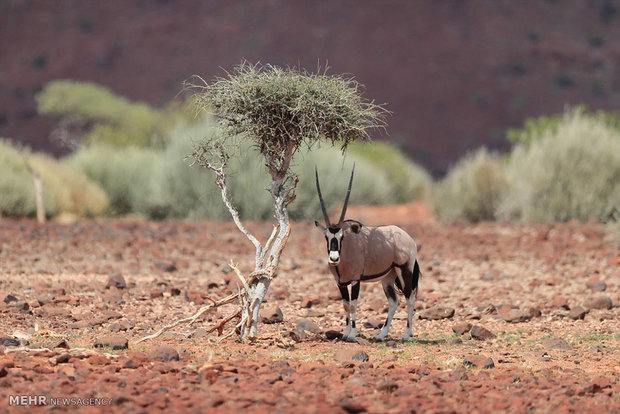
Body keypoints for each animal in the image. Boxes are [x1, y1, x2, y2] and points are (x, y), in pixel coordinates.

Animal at [314, 167, 422, 342]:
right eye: (326, 237)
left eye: (341, 237)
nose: (334, 258)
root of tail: (408, 238)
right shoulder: (340, 283)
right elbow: (346, 305)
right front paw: (345, 333)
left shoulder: (355, 280)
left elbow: (353, 305)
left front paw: (352, 334)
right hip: (388, 277)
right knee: (394, 301)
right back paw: (381, 335)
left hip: (404, 271)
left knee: (410, 298)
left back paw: (407, 334)